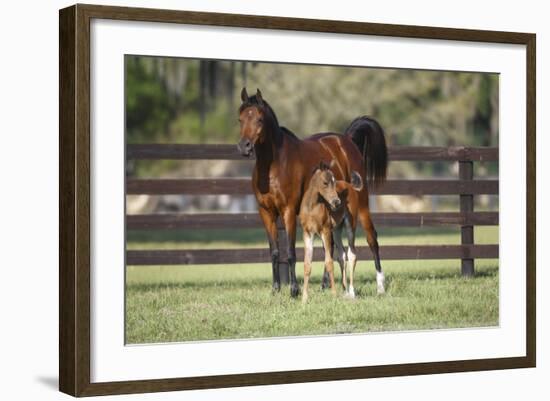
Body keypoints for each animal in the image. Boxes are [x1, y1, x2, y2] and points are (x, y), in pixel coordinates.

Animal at [300, 161, 364, 302]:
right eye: (325, 182)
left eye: (334, 183)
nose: (336, 202)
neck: (312, 207)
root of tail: (350, 186)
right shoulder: (308, 234)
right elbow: (307, 264)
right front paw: (304, 298)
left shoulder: (325, 231)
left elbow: (329, 262)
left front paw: (334, 295)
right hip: (337, 230)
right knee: (342, 255)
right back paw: (345, 291)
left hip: (349, 226)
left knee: (352, 254)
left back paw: (351, 292)